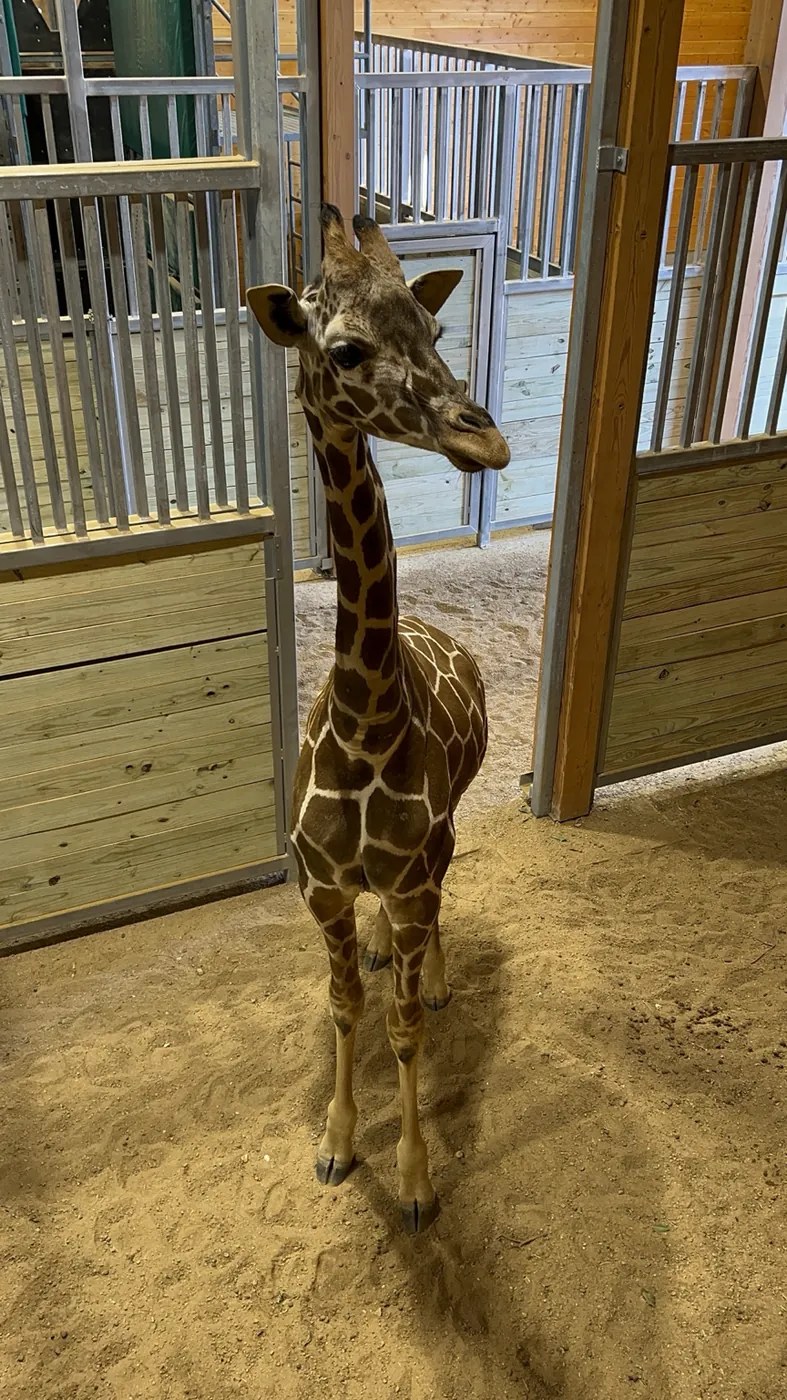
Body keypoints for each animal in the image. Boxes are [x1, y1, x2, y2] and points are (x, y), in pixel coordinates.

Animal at [247, 204, 509, 1234]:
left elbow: (395, 1028)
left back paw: (432, 978)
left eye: (434, 330)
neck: (364, 723)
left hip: (438, 850)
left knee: (438, 907)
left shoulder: (406, 876)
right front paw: (333, 1145)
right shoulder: (320, 887)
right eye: (346, 350)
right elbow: (343, 1006)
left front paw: (415, 1182)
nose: (485, 442)